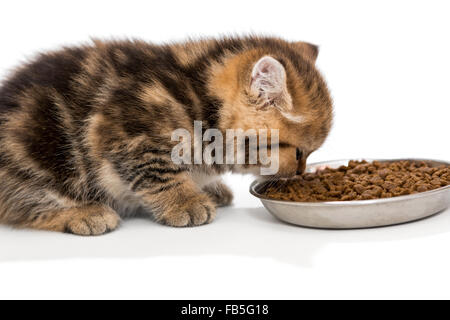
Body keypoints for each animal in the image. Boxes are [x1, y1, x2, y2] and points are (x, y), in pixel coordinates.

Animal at [0, 36, 332, 235]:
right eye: (299, 152)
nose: (300, 173)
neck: (197, 97)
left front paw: (205, 186)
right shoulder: (122, 133)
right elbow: (157, 171)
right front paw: (184, 201)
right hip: (36, 149)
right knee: (23, 203)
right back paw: (83, 213)